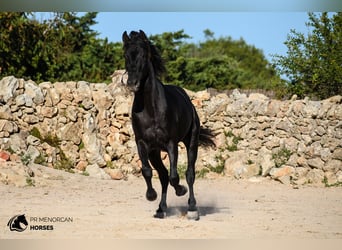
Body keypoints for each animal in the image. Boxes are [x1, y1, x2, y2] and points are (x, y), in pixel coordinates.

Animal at [122, 29, 214, 221]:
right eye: (126, 55)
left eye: (143, 55)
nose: (132, 83)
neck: (151, 109)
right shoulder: (143, 144)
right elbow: (148, 171)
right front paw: (151, 196)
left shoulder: (171, 144)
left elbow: (175, 176)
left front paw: (181, 191)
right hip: (155, 152)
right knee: (163, 176)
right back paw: (161, 209)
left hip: (191, 143)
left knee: (189, 174)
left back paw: (192, 208)